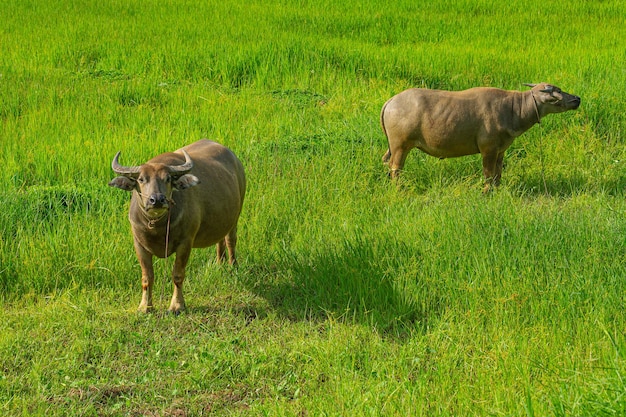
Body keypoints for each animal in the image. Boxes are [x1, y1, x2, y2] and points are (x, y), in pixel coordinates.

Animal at [108, 140, 245, 312]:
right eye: (141, 179)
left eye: (167, 179)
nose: (157, 200)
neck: (157, 227)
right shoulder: (139, 244)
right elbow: (147, 277)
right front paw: (145, 306)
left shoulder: (185, 243)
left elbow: (178, 274)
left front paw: (177, 305)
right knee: (220, 240)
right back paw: (219, 264)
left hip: (236, 216)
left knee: (231, 240)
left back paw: (233, 266)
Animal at [380, 83, 580, 193]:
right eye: (558, 91)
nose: (577, 99)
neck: (513, 109)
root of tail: (391, 102)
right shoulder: (488, 149)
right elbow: (488, 174)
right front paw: (486, 193)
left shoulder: (500, 151)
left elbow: (498, 173)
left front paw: (497, 191)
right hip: (400, 146)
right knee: (396, 168)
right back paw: (400, 189)